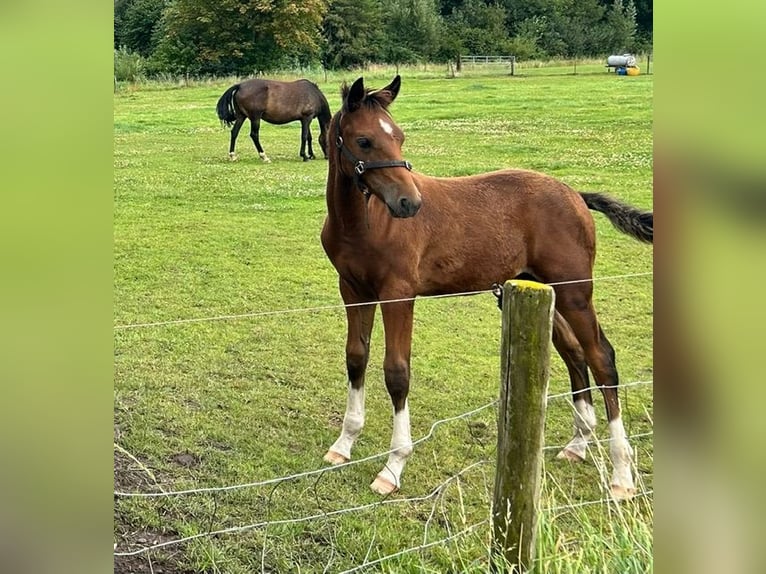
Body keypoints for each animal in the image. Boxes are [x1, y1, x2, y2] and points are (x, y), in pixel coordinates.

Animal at [320, 75, 656, 500]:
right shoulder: (353, 290)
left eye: (399, 136)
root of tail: (577, 196)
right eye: (364, 141)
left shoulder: (399, 293)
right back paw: (578, 445)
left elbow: (396, 372)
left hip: (576, 291)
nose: (409, 203)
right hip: (542, 289)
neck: (363, 222)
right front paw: (343, 445)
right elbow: (355, 358)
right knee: (574, 353)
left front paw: (392, 468)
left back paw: (621, 475)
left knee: (601, 358)